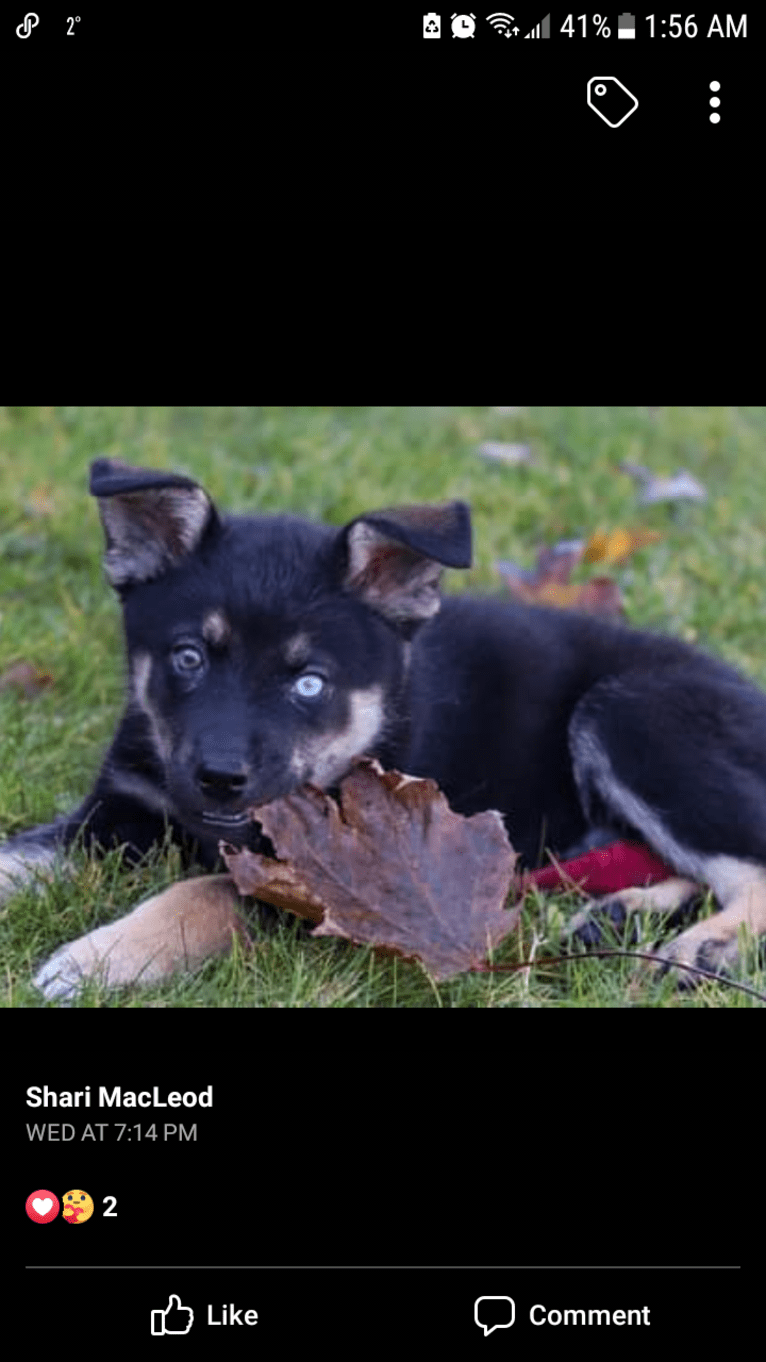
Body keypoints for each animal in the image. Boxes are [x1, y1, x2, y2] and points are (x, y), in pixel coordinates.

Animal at [5, 460, 763, 1002]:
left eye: (310, 682)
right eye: (188, 657)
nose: (219, 779)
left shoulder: (334, 877)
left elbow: (205, 891)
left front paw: (100, 958)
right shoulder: (119, 810)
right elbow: (23, 856)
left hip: (631, 715)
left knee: (747, 862)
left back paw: (704, 947)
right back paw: (623, 913)